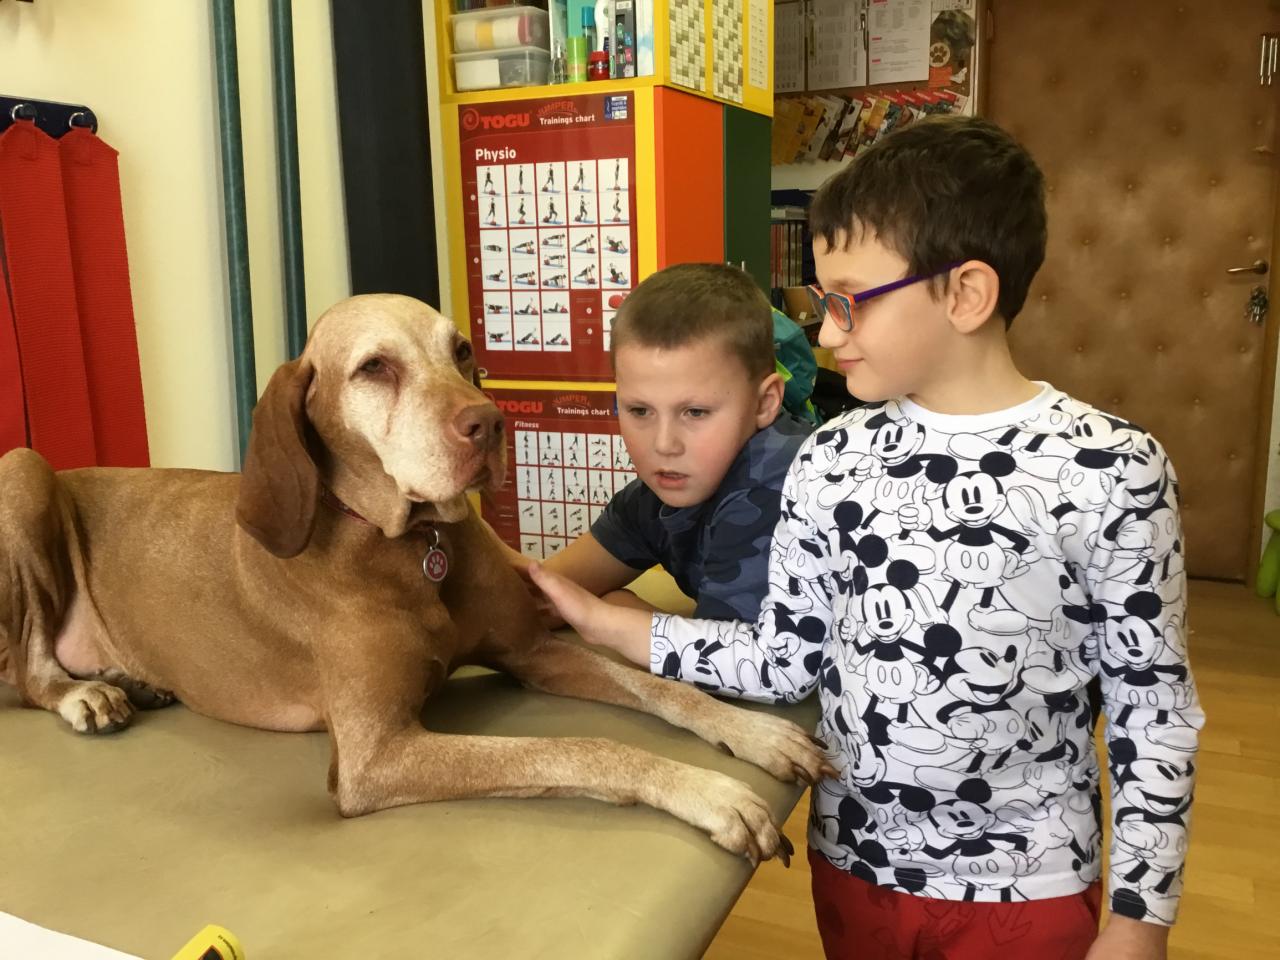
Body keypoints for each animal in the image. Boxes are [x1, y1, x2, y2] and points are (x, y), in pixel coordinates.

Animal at [0, 294, 832, 865]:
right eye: (375, 368)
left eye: (462, 350)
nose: (489, 424)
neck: (412, 547)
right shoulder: (378, 757)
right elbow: (581, 746)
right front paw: (711, 793)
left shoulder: (532, 650)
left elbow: (661, 687)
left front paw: (754, 733)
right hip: (23, 470)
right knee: (26, 670)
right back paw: (85, 694)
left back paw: (130, 680)